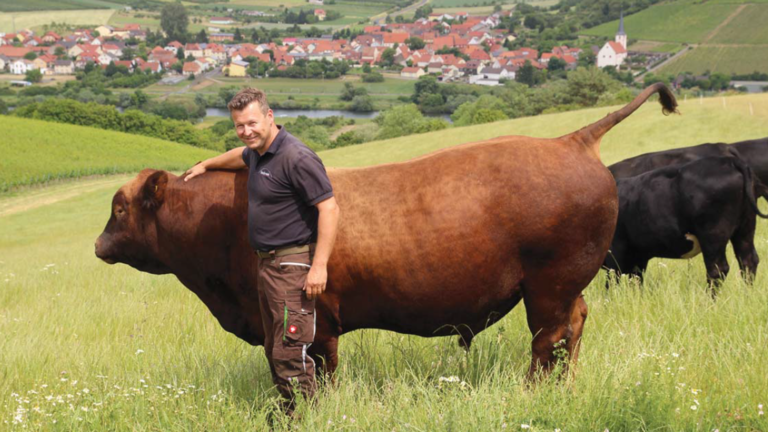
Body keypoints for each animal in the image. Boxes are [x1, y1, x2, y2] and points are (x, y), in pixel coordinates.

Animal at [96, 82, 680, 376]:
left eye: (119, 208)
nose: (99, 244)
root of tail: (570, 141)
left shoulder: (310, 324)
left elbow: (313, 371)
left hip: (550, 287)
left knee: (551, 338)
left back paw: (536, 388)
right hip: (564, 287)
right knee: (573, 327)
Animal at [608, 154, 768, 290]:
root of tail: (728, 160)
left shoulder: (615, 251)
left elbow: (612, 282)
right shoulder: (638, 256)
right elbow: (636, 281)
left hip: (713, 234)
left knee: (717, 269)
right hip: (745, 228)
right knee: (748, 261)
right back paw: (748, 294)